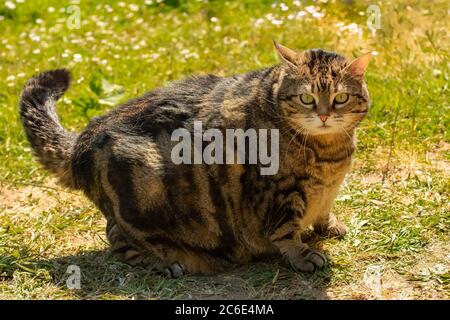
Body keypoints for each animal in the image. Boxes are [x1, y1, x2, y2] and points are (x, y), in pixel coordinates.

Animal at [20, 43, 370, 278]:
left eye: (340, 98)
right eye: (306, 98)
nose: (324, 116)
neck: (330, 152)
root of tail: (85, 136)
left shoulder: (325, 191)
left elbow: (323, 211)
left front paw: (329, 226)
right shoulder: (279, 193)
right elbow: (285, 231)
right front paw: (302, 255)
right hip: (140, 184)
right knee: (118, 239)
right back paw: (165, 262)